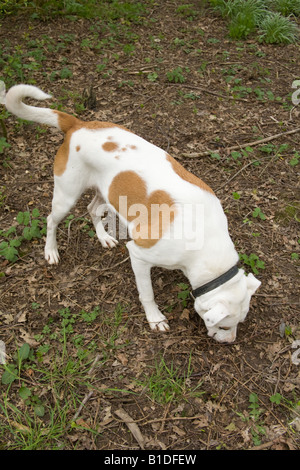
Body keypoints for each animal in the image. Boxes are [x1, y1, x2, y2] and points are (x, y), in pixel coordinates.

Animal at [0, 83, 260, 342]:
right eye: (225, 326)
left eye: (239, 323)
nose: (230, 341)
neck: (207, 239)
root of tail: (77, 124)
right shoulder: (139, 255)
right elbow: (147, 294)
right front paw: (155, 318)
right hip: (66, 196)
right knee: (50, 220)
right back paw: (51, 251)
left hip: (106, 193)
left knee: (91, 210)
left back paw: (103, 238)